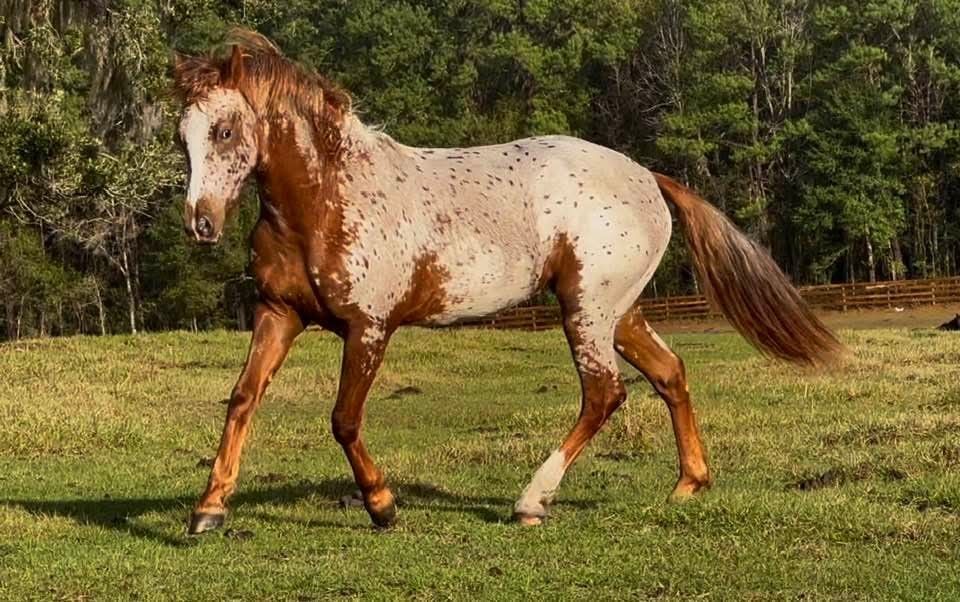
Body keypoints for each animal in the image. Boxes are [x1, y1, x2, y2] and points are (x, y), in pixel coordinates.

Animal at [172, 30, 842, 534]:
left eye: (225, 131)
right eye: (182, 138)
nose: (201, 224)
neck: (325, 201)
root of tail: (646, 177)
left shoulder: (368, 328)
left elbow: (343, 419)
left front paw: (383, 507)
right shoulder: (277, 314)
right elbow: (242, 398)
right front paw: (208, 509)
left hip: (586, 311)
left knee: (604, 394)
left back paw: (531, 501)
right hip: (617, 312)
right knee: (669, 373)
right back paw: (688, 484)